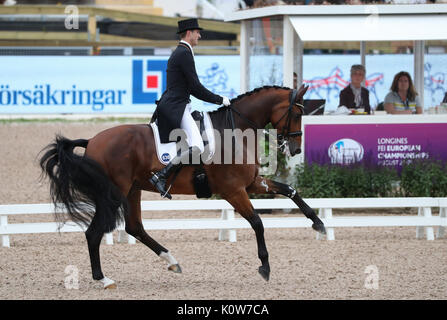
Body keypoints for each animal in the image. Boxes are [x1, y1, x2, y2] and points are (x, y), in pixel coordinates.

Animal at [39, 84, 326, 288]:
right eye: (298, 113)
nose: (295, 149)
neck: (236, 131)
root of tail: (92, 141)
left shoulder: (252, 183)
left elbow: (290, 191)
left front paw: (319, 224)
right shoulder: (233, 190)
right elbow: (257, 222)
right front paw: (265, 267)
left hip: (132, 190)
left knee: (135, 227)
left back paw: (172, 262)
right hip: (113, 193)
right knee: (94, 232)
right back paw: (103, 279)